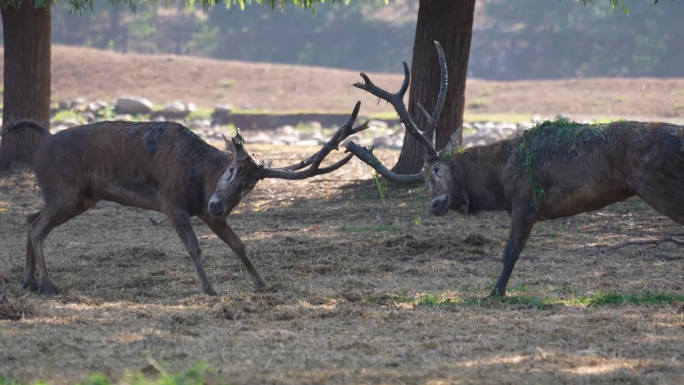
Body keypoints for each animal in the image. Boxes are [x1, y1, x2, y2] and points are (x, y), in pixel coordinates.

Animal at [2, 101, 372, 294]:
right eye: (232, 170)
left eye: (251, 186)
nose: (219, 204)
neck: (200, 180)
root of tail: (44, 140)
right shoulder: (172, 204)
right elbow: (194, 247)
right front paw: (208, 289)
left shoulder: (204, 212)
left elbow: (239, 244)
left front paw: (261, 283)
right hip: (64, 190)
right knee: (38, 227)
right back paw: (47, 284)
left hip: (79, 197)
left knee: (30, 218)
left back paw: (27, 280)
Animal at [348, 42, 684, 298]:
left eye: (437, 170)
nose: (434, 205)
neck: (498, 179)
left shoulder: (525, 202)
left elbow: (510, 251)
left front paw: (494, 293)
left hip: (661, 187)